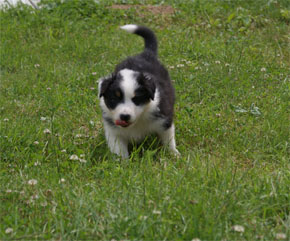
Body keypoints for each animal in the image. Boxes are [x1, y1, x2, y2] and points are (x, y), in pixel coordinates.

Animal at [98, 24, 179, 158]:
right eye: (114, 99)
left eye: (136, 99)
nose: (124, 116)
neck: (138, 120)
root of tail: (145, 54)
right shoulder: (114, 131)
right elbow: (119, 150)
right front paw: (122, 163)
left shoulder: (164, 120)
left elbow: (168, 140)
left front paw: (174, 155)